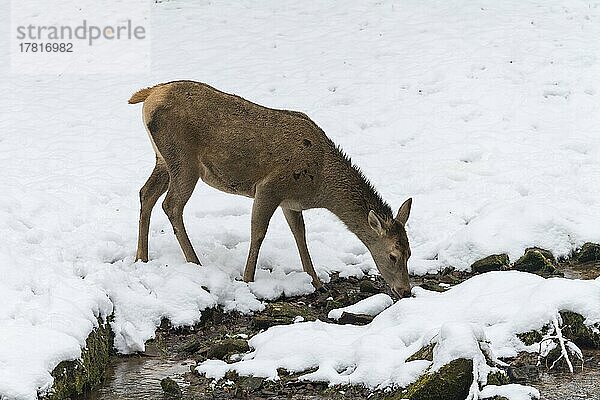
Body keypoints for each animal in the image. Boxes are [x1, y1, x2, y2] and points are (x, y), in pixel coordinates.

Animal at [129, 80, 412, 296]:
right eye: (393, 255)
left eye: (409, 252)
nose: (406, 291)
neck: (318, 185)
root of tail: (149, 96)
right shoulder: (270, 187)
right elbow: (258, 232)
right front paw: (247, 280)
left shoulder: (291, 203)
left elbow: (300, 235)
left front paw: (316, 282)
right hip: (184, 159)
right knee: (171, 204)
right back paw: (194, 261)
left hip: (163, 159)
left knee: (145, 193)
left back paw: (141, 257)